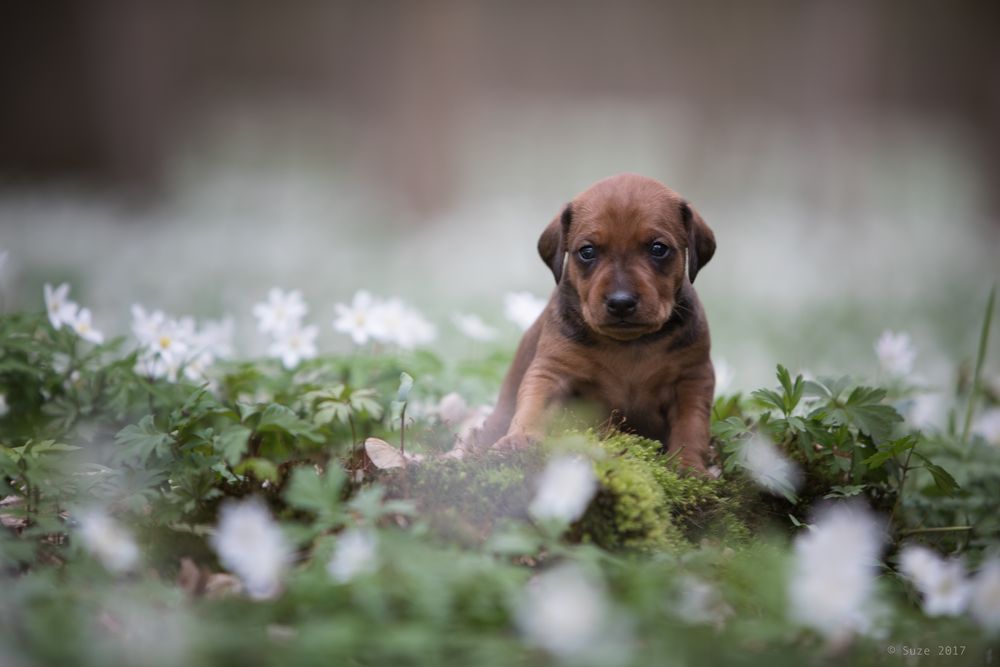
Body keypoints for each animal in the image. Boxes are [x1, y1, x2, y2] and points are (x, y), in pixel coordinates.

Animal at [472, 172, 716, 474]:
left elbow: (690, 425)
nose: (621, 302)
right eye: (587, 251)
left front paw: (688, 466)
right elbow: (534, 405)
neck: (629, 345)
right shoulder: (553, 371)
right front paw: (520, 438)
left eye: (658, 248)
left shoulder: (692, 379)